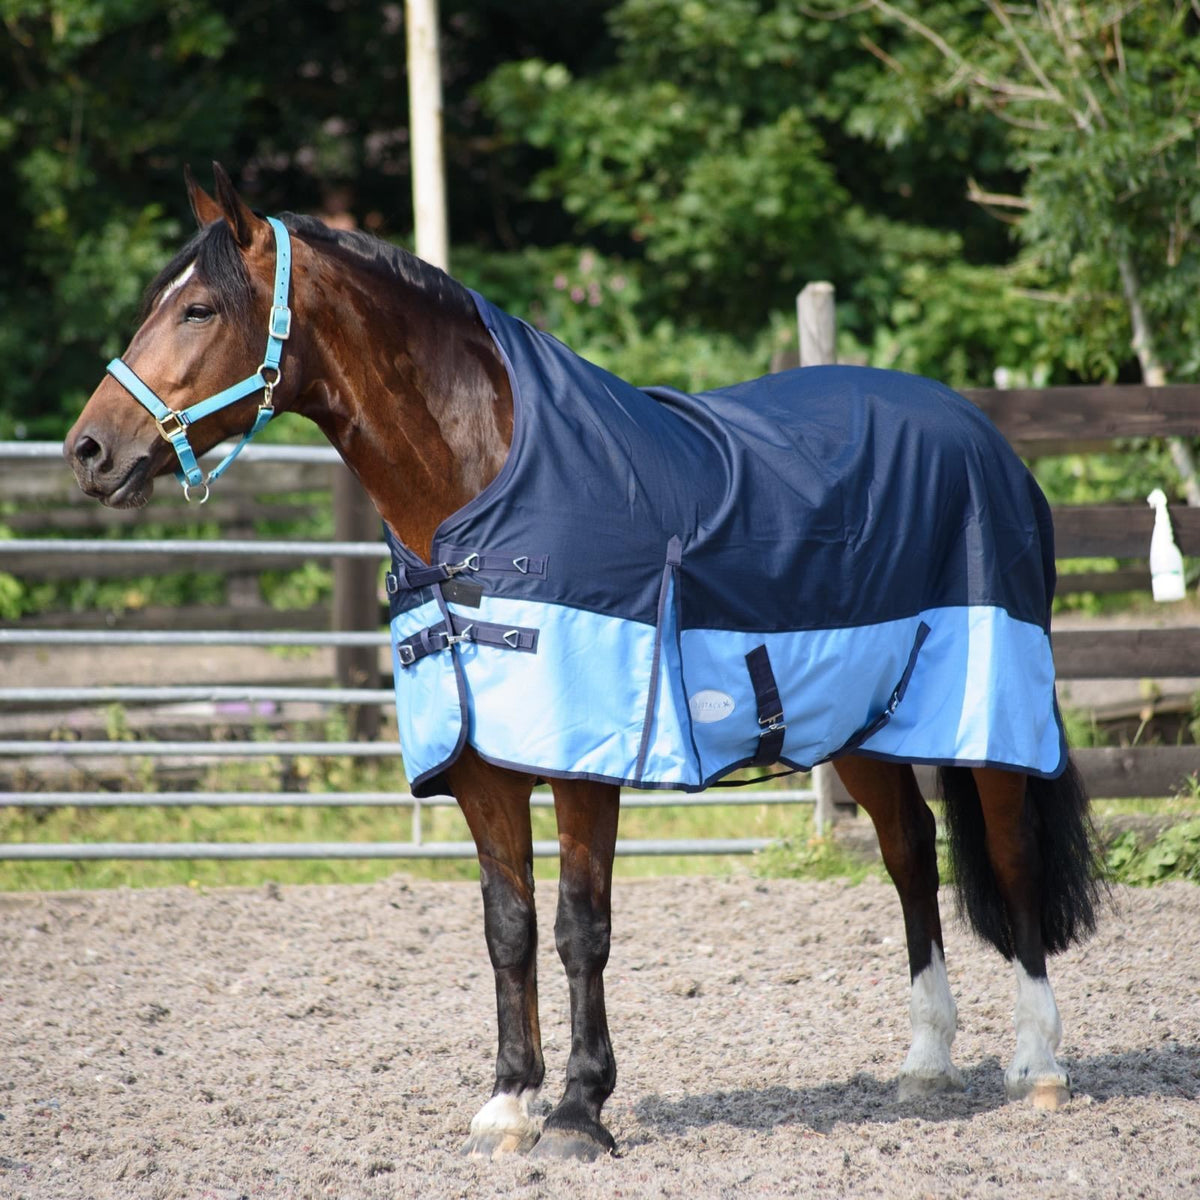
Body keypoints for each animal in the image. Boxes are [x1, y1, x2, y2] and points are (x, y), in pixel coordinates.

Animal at [64, 164, 1102, 1161]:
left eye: (200, 310)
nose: (89, 450)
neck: (484, 488)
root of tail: (980, 433)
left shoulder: (583, 764)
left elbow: (579, 927)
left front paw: (577, 1112)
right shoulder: (483, 769)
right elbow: (508, 929)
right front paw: (507, 1104)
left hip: (989, 707)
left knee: (1009, 857)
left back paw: (1039, 1066)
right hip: (858, 724)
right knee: (911, 855)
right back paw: (926, 1063)